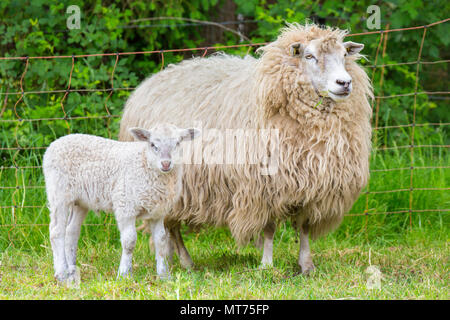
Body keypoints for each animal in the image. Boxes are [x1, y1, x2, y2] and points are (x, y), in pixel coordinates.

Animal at [42, 123, 200, 284]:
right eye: (152, 145)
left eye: (178, 143)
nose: (166, 163)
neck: (145, 163)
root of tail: (55, 144)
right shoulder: (125, 206)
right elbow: (129, 242)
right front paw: (124, 274)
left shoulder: (157, 212)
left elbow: (161, 241)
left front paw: (164, 275)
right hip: (59, 192)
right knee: (56, 232)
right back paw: (62, 273)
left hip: (80, 201)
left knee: (71, 231)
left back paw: (72, 270)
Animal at [118, 22, 372, 274]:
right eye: (309, 56)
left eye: (344, 55)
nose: (344, 83)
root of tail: (151, 81)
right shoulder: (263, 187)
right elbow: (269, 229)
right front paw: (266, 265)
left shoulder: (313, 187)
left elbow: (304, 228)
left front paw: (306, 265)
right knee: (172, 227)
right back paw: (186, 262)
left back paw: (170, 258)